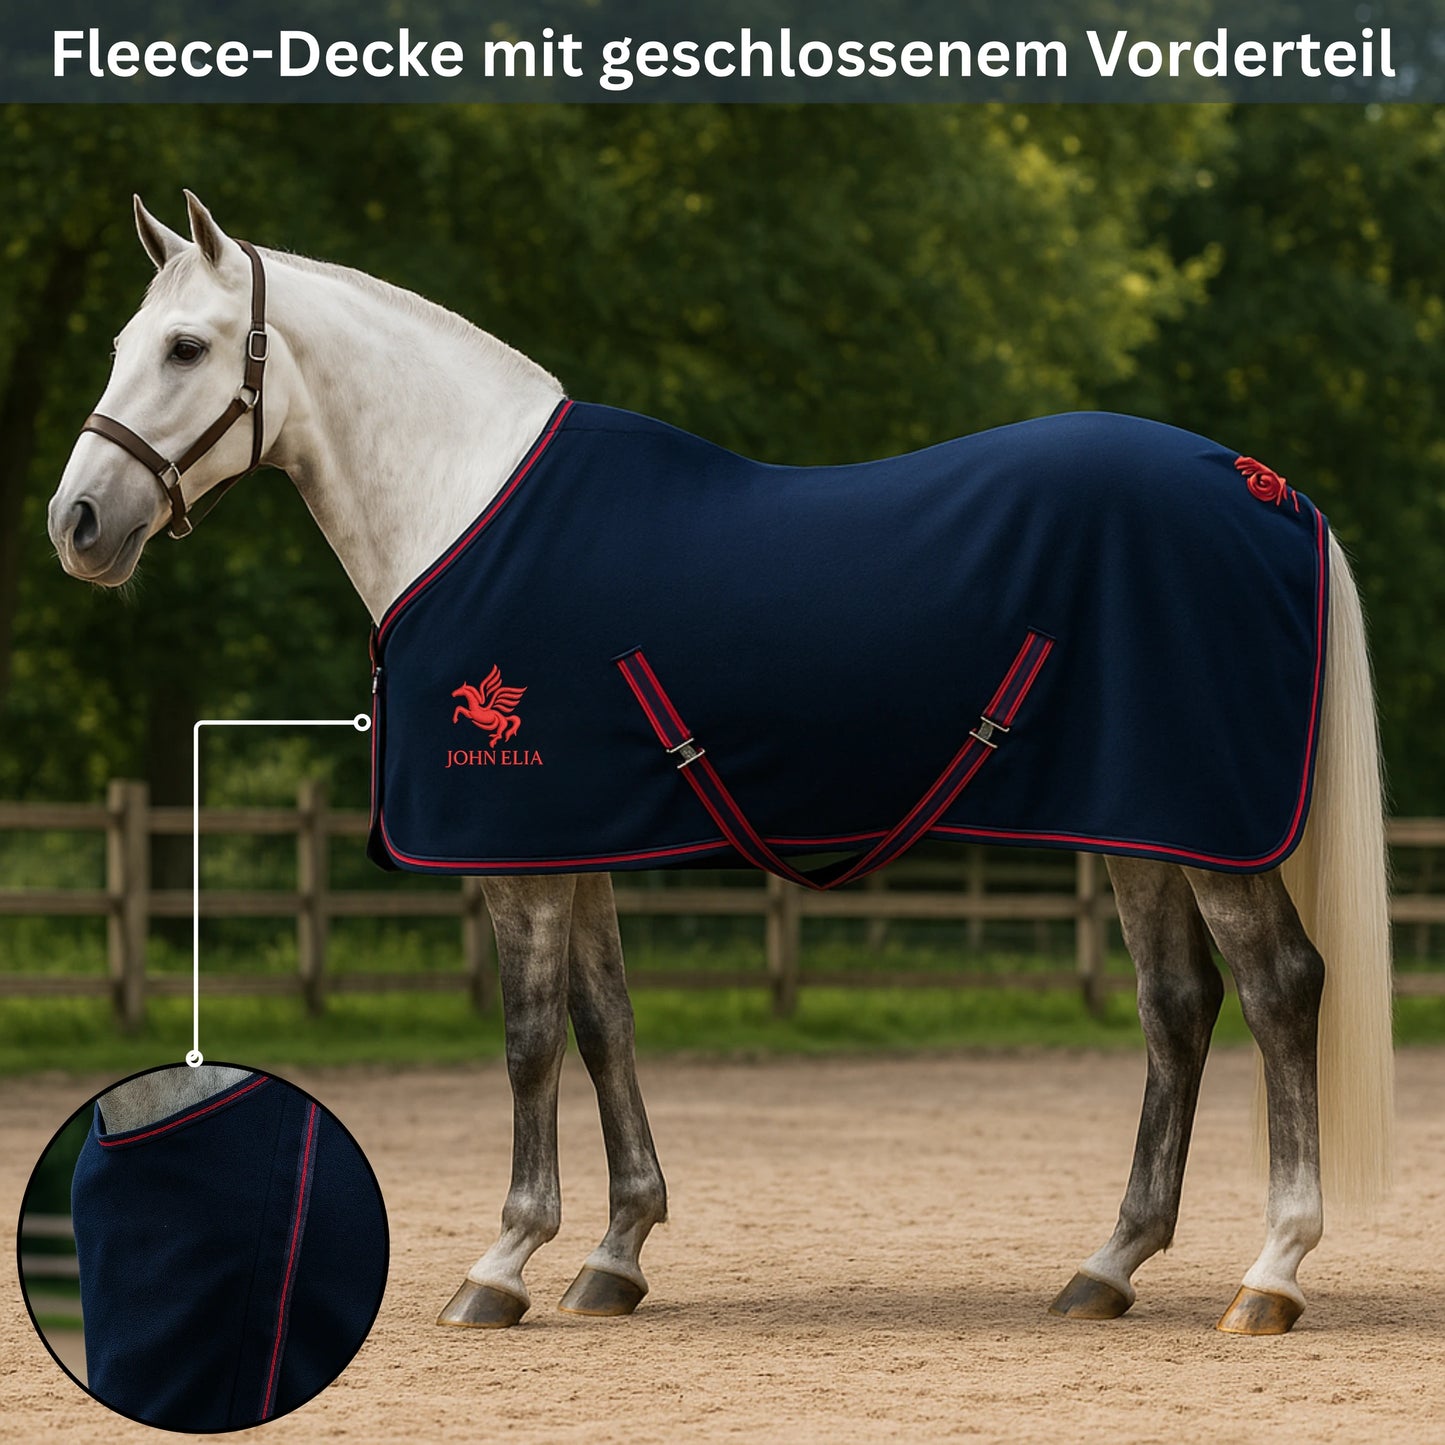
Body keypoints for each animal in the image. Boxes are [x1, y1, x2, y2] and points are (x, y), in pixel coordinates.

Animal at [47, 192, 1393, 1336]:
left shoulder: (520, 852)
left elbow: (528, 1037)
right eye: (116, 344)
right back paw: (1106, 1265)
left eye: (185, 348)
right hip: (1141, 824)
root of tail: (1262, 486)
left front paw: (502, 1263)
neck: (461, 500)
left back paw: (1269, 1272)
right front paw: (613, 1253)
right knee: (1177, 1007)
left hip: (1207, 825)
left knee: (1278, 989)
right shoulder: (573, 839)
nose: (77, 525)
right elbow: (603, 1023)